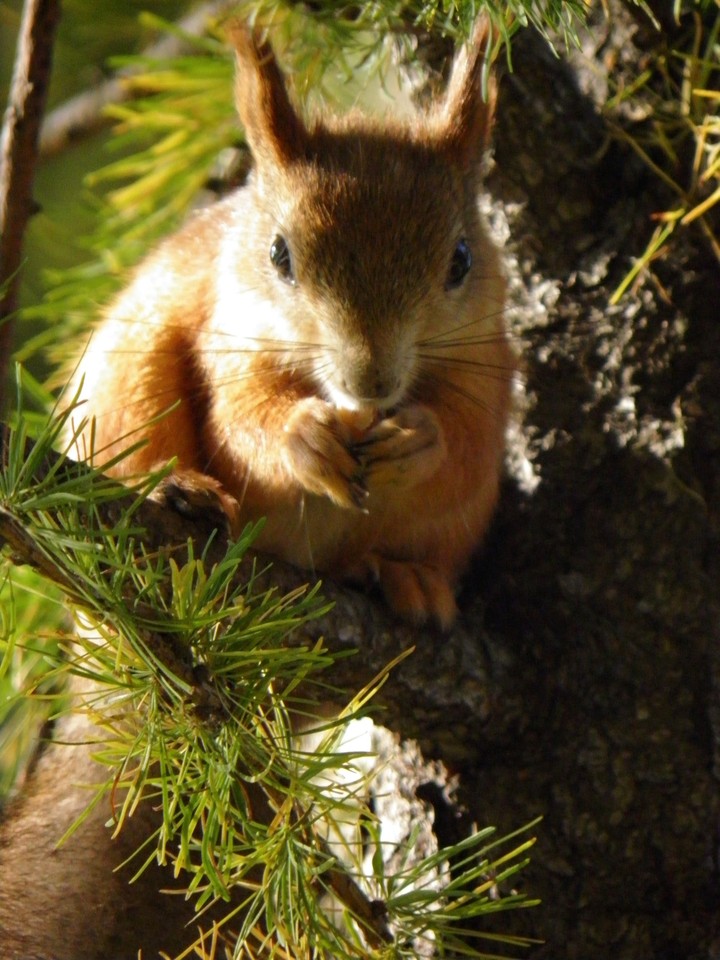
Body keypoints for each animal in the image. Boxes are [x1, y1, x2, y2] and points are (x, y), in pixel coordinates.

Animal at [67, 19, 514, 630]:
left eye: (462, 261)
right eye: (279, 255)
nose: (370, 382)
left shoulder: (488, 365)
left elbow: (470, 448)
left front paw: (418, 439)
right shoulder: (228, 343)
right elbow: (238, 425)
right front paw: (302, 436)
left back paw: (405, 576)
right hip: (127, 375)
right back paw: (172, 489)